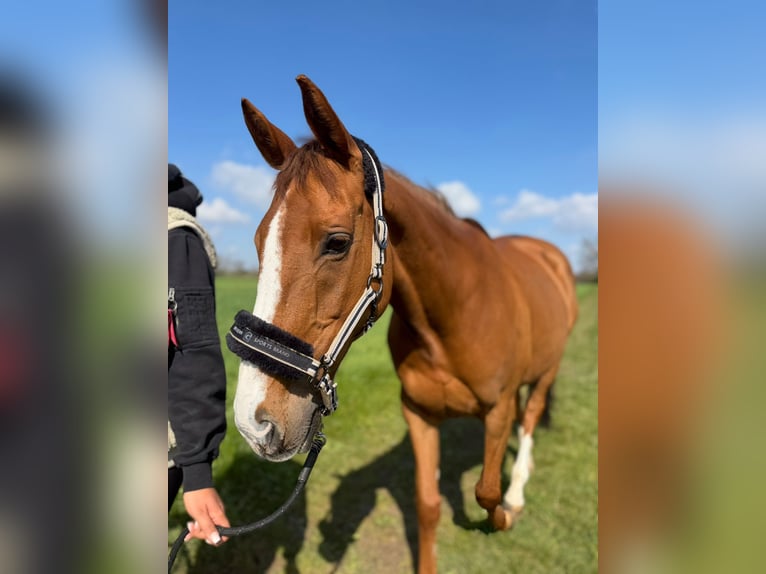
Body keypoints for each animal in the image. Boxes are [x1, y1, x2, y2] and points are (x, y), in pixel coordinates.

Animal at [229, 75, 578, 573]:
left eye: (337, 242)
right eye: (260, 241)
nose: (253, 424)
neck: (452, 318)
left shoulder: (498, 410)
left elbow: (485, 490)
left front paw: (504, 517)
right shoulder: (419, 414)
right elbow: (427, 505)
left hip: (547, 371)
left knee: (530, 420)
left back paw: (518, 490)